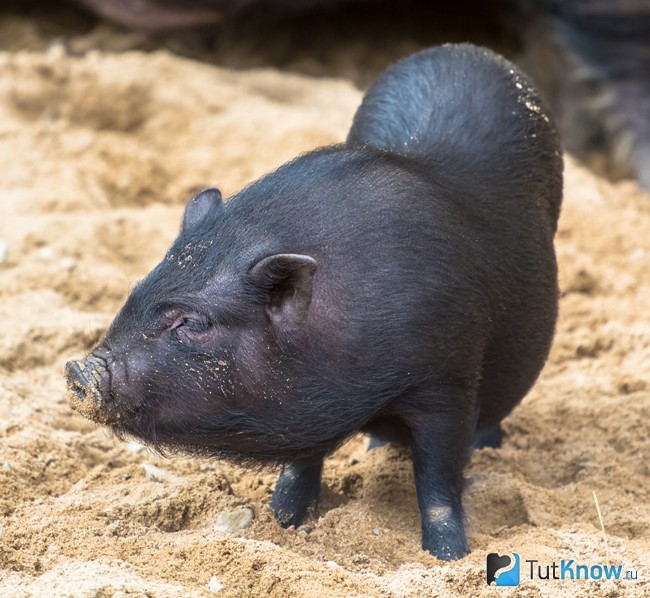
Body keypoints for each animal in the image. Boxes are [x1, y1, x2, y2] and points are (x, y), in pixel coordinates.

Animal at [65, 43, 563, 561]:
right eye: (137, 290)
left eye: (193, 322)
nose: (78, 372)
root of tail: (464, 50)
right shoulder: (307, 404)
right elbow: (301, 465)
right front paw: (283, 521)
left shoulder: (449, 377)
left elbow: (438, 482)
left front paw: (449, 557)